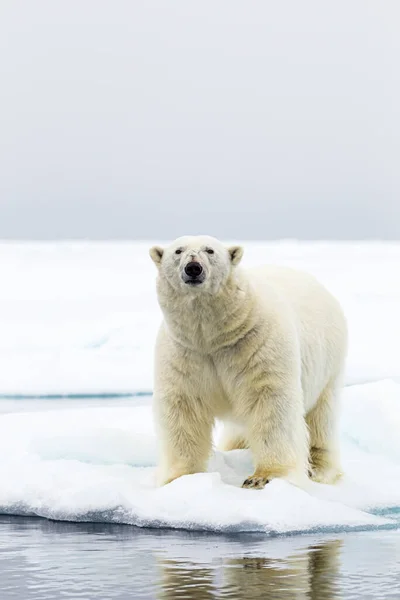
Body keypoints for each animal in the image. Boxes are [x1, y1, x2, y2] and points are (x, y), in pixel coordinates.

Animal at [150, 234, 346, 488]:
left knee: (321, 416)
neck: (213, 336)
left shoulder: (258, 343)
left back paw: (319, 468)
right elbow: (183, 407)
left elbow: (271, 401)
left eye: (210, 250)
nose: (193, 268)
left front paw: (264, 477)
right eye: (178, 251)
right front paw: (179, 477)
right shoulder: (185, 353)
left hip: (329, 363)